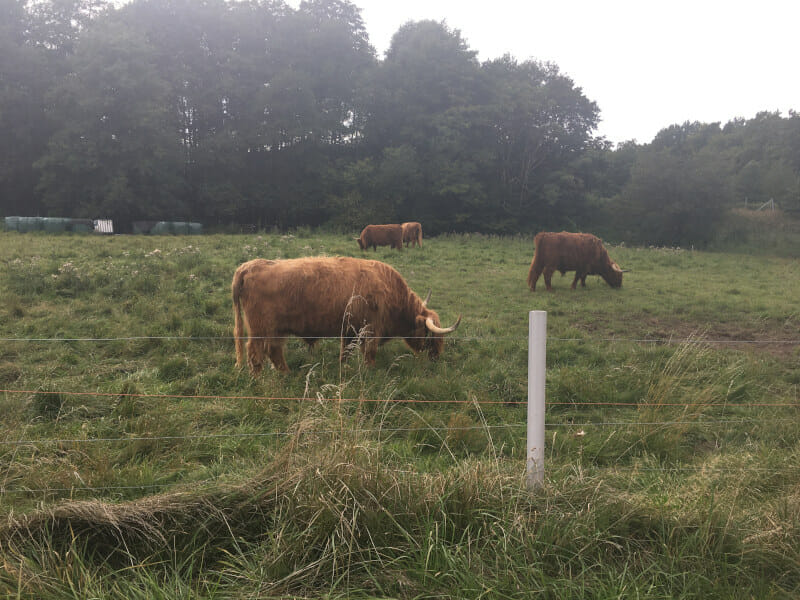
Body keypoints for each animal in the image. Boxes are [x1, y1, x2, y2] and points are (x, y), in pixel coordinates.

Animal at [231, 255, 460, 372]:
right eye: (430, 334)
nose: (436, 356)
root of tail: (249, 266)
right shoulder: (370, 330)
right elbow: (369, 353)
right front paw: (370, 371)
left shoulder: (350, 330)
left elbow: (346, 352)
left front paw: (344, 369)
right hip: (261, 328)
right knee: (255, 352)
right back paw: (259, 378)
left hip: (275, 330)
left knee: (273, 350)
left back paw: (285, 373)